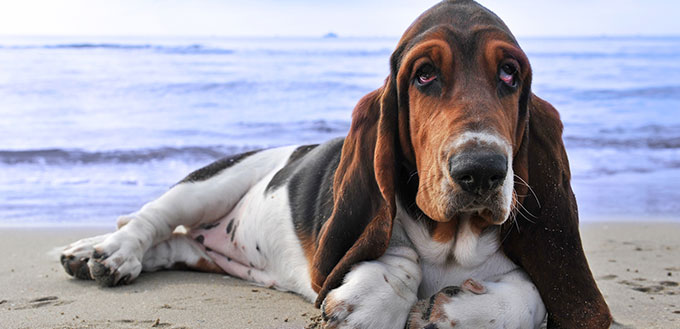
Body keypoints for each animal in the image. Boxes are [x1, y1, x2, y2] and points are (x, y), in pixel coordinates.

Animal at [58, 1, 612, 326]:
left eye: (510, 73)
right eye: (425, 75)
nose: (481, 170)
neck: (451, 244)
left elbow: (534, 292)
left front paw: (460, 310)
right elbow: (395, 256)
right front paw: (370, 301)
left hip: (204, 250)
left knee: (172, 247)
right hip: (210, 183)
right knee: (150, 220)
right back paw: (105, 254)